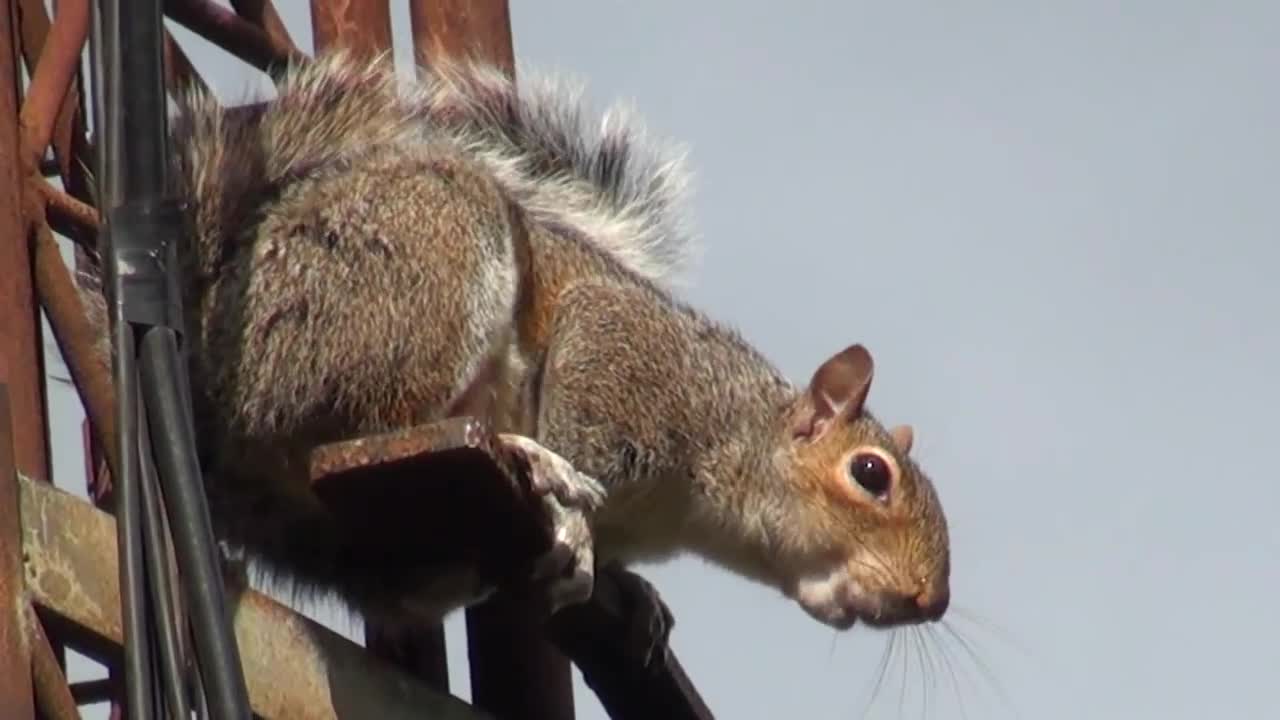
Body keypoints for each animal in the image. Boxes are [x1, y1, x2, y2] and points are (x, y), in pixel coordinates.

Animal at [80, 49, 952, 632]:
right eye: (870, 474)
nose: (929, 600)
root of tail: (217, 384)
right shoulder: (625, 363)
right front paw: (578, 533)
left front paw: (634, 597)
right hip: (431, 275)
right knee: (375, 426)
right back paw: (522, 455)